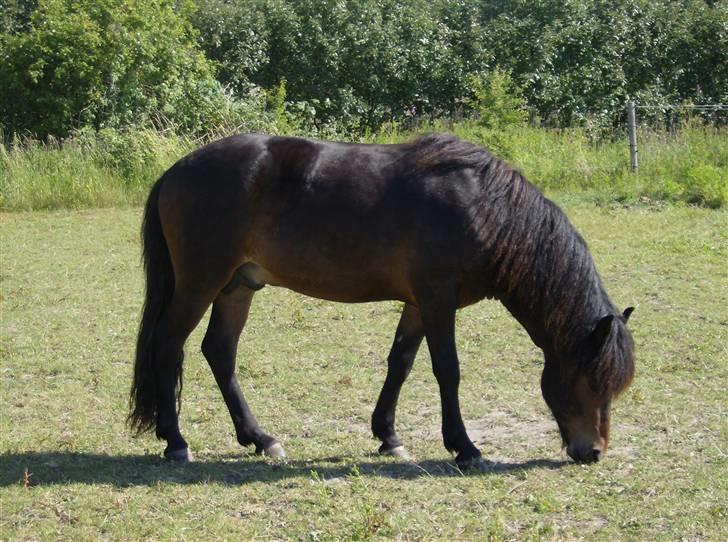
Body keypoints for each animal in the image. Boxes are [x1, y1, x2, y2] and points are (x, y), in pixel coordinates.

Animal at [128, 134, 636, 470]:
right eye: (593, 381)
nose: (593, 452)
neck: (484, 208)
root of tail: (175, 171)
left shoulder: (418, 303)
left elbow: (401, 363)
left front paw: (388, 436)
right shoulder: (437, 299)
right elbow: (447, 370)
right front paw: (465, 447)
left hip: (238, 287)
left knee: (220, 352)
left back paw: (259, 438)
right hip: (200, 283)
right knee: (167, 346)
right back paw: (175, 441)